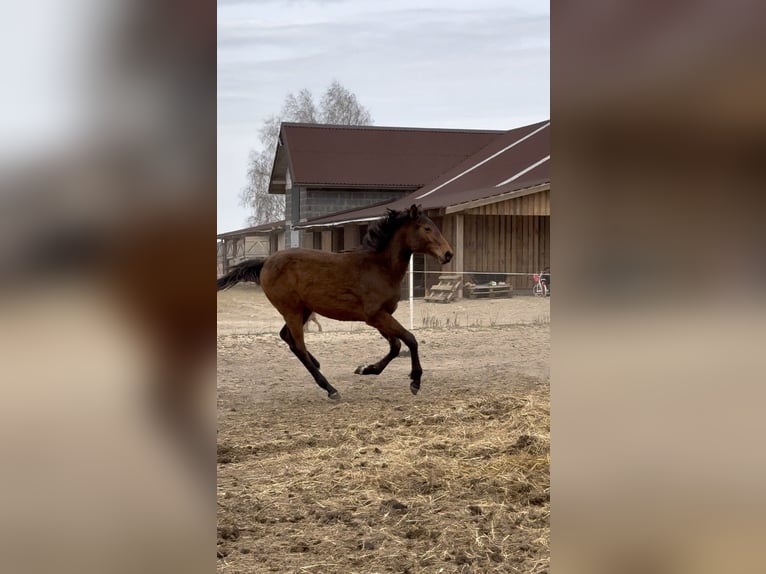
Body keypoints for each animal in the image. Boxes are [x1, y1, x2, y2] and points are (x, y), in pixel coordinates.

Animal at [217, 204, 453, 399]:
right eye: (427, 228)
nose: (448, 254)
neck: (379, 267)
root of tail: (265, 261)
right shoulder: (376, 315)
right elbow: (410, 339)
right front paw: (415, 381)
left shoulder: (379, 317)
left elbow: (395, 346)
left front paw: (366, 369)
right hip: (292, 310)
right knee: (298, 345)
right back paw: (330, 388)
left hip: (302, 310)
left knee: (287, 337)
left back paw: (318, 364)